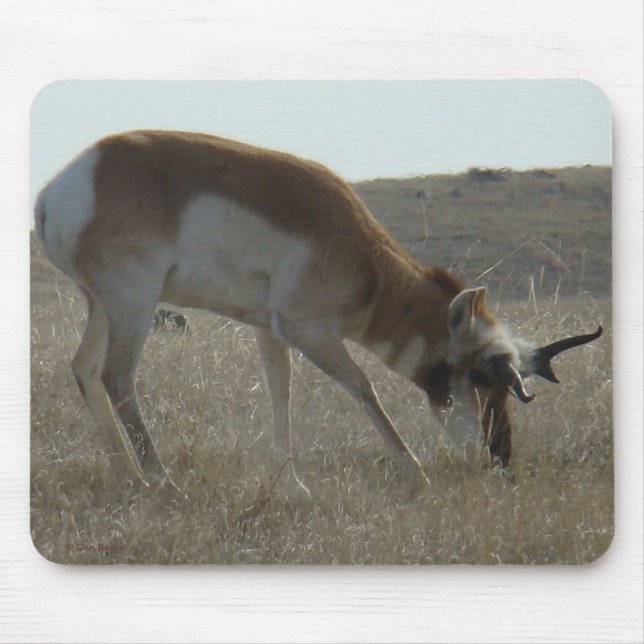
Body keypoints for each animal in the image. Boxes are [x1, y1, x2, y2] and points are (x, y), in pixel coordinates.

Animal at [34, 130, 602, 492]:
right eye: (483, 375)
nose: (501, 458)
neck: (360, 252)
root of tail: (63, 185)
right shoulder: (310, 332)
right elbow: (364, 388)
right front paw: (415, 473)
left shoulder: (268, 330)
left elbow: (278, 391)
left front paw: (292, 487)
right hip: (133, 304)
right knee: (117, 376)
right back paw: (163, 481)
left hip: (102, 306)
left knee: (84, 368)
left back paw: (129, 479)